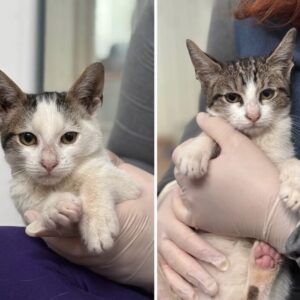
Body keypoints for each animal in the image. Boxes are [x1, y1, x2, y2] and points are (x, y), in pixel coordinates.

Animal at [0, 62, 139, 253]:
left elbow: (97, 179)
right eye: (27, 138)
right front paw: (57, 206)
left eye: (69, 137)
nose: (49, 162)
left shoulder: (132, 185)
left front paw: (97, 222)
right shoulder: (23, 200)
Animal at [173, 28, 300, 300]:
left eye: (267, 94)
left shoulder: (280, 151)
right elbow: (212, 134)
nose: (253, 115)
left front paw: (295, 185)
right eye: (232, 97)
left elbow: (291, 160)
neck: (255, 140)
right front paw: (194, 151)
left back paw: (263, 263)